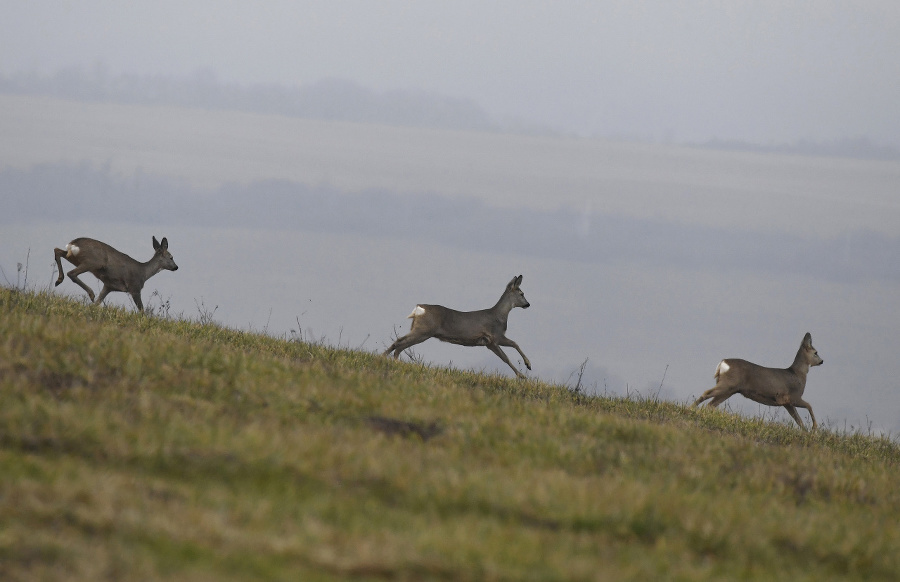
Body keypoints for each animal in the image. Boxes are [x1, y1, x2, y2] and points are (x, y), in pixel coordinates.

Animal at [382, 278, 536, 380]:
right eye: (522, 294)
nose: (528, 304)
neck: (499, 316)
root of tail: (419, 308)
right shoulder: (495, 337)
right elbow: (510, 351)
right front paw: (525, 371)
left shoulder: (489, 343)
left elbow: (508, 352)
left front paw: (524, 370)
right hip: (423, 331)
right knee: (399, 342)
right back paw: (386, 358)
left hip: (420, 330)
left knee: (400, 343)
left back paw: (388, 359)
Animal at [692, 330, 828, 432]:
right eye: (816, 352)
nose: (822, 361)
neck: (797, 374)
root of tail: (722, 363)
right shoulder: (793, 397)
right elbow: (809, 406)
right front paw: (814, 428)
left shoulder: (786, 403)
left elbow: (798, 420)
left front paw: (806, 432)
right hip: (727, 385)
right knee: (706, 393)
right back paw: (692, 409)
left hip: (729, 390)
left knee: (711, 404)